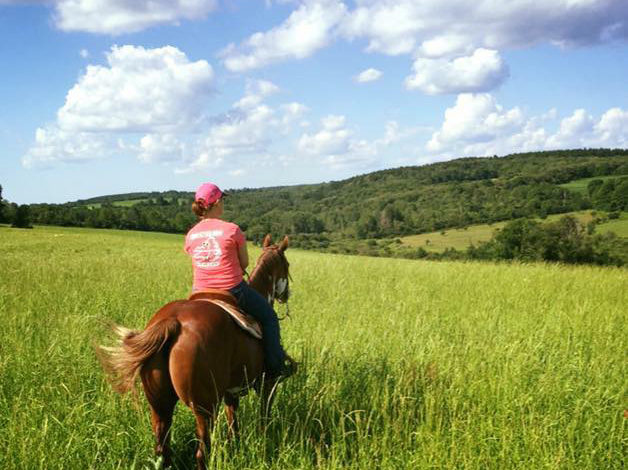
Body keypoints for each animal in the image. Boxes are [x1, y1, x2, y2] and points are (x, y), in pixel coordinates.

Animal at [99, 235, 294, 470]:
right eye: (287, 265)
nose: (287, 294)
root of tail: (172, 321)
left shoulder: (231, 392)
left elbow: (233, 422)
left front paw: (235, 445)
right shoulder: (268, 384)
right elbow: (263, 416)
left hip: (159, 404)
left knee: (162, 451)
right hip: (204, 408)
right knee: (201, 453)